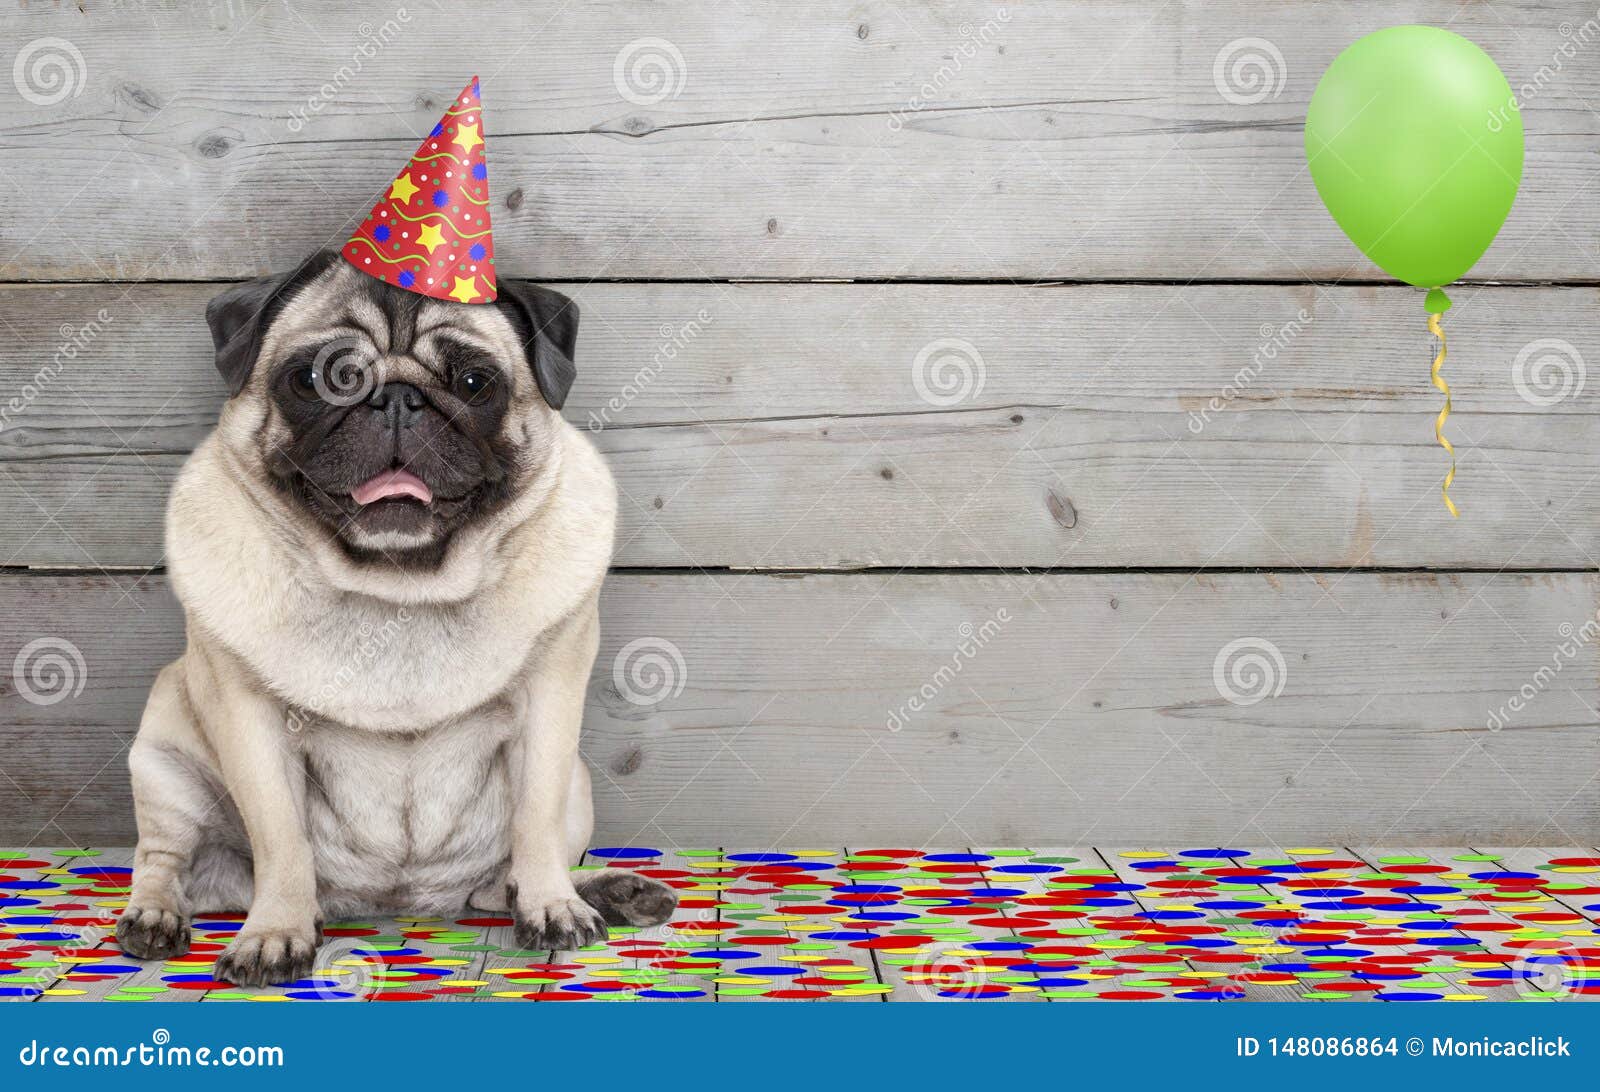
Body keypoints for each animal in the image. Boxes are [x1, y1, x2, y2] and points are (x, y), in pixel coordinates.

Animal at [116, 251, 678, 979]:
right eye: (315, 379)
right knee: (164, 862)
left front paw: (553, 907)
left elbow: (535, 820)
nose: (396, 399)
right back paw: (155, 918)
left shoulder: (551, 706)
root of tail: (398, 899)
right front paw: (274, 933)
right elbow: (281, 836)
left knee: (501, 882)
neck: (398, 587)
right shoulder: (248, 719)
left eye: (473, 382)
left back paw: (607, 891)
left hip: (578, 789)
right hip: (165, 765)